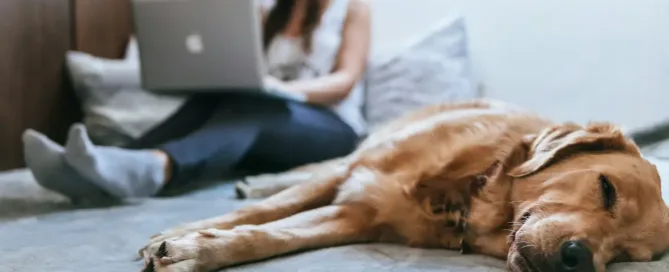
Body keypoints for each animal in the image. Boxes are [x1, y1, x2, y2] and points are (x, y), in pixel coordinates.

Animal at [137, 99, 668, 272]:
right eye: (606, 189)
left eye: (625, 255)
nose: (578, 259)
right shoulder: (353, 175)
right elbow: (258, 216)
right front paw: (182, 234)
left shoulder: (354, 216)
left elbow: (269, 235)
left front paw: (197, 250)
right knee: (310, 169)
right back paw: (258, 181)